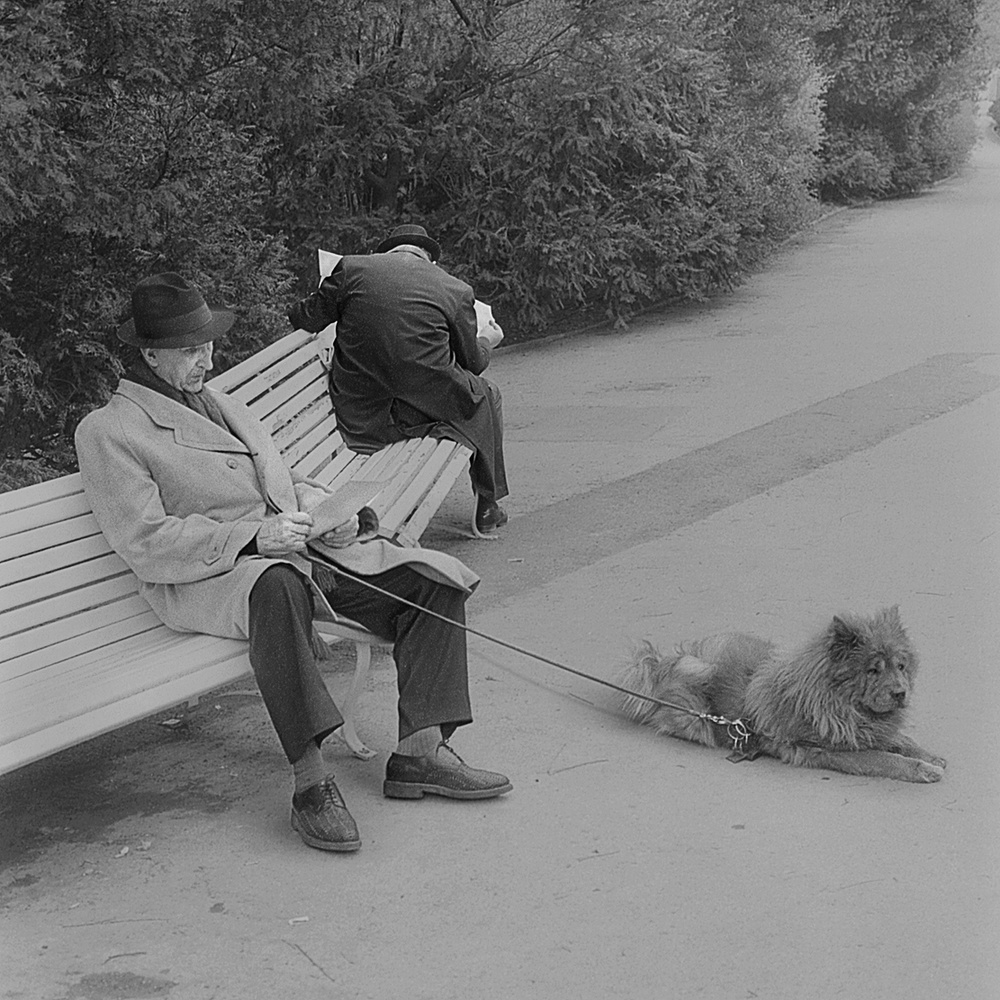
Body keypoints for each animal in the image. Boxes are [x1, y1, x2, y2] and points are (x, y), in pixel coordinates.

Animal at [618, 606, 946, 782]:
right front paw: (924, 769)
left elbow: (902, 740)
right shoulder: (831, 750)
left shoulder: (872, 731)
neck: (843, 705)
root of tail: (663, 663)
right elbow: (886, 759)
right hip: (694, 707)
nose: (900, 692)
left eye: (900, 666)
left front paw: (931, 757)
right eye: (873, 670)